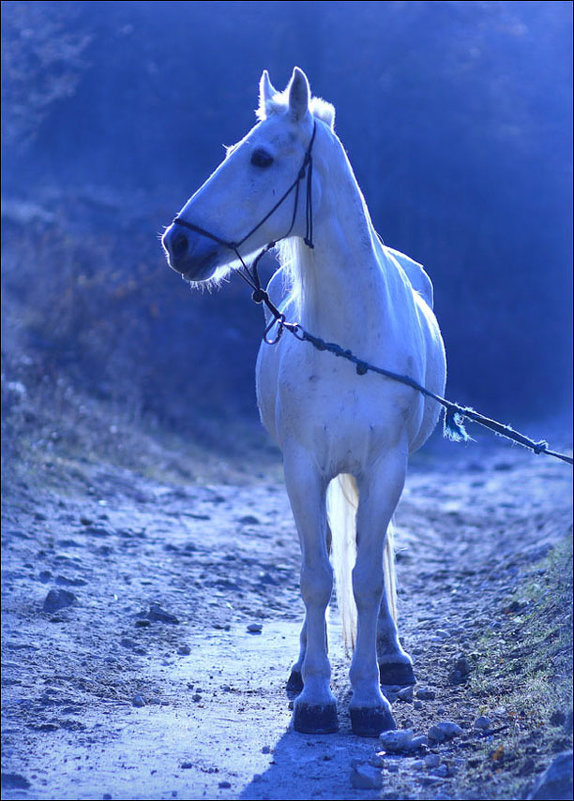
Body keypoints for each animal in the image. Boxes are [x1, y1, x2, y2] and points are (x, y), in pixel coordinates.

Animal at [164, 69, 448, 736]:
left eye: (262, 157)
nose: (177, 242)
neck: (351, 340)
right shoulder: (301, 468)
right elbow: (317, 577)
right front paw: (316, 696)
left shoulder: (386, 468)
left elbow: (365, 579)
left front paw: (369, 697)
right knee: (322, 551)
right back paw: (303, 667)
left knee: (374, 555)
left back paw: (391, 654)